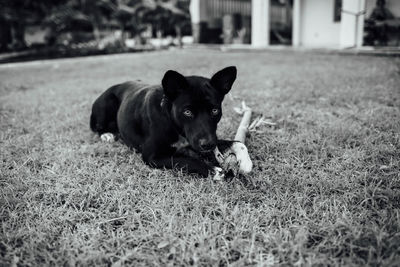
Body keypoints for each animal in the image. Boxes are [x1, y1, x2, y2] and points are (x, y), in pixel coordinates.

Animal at [90, 66, 250, 180]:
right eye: (187, 112)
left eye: (215, 110)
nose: (208, 145)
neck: (171, 120)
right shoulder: (152, 157)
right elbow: (185, 161)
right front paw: (214, 170)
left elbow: (238, 143)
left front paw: (245, 161)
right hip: (107, 103)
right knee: (97, 127)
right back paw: (107, 135)